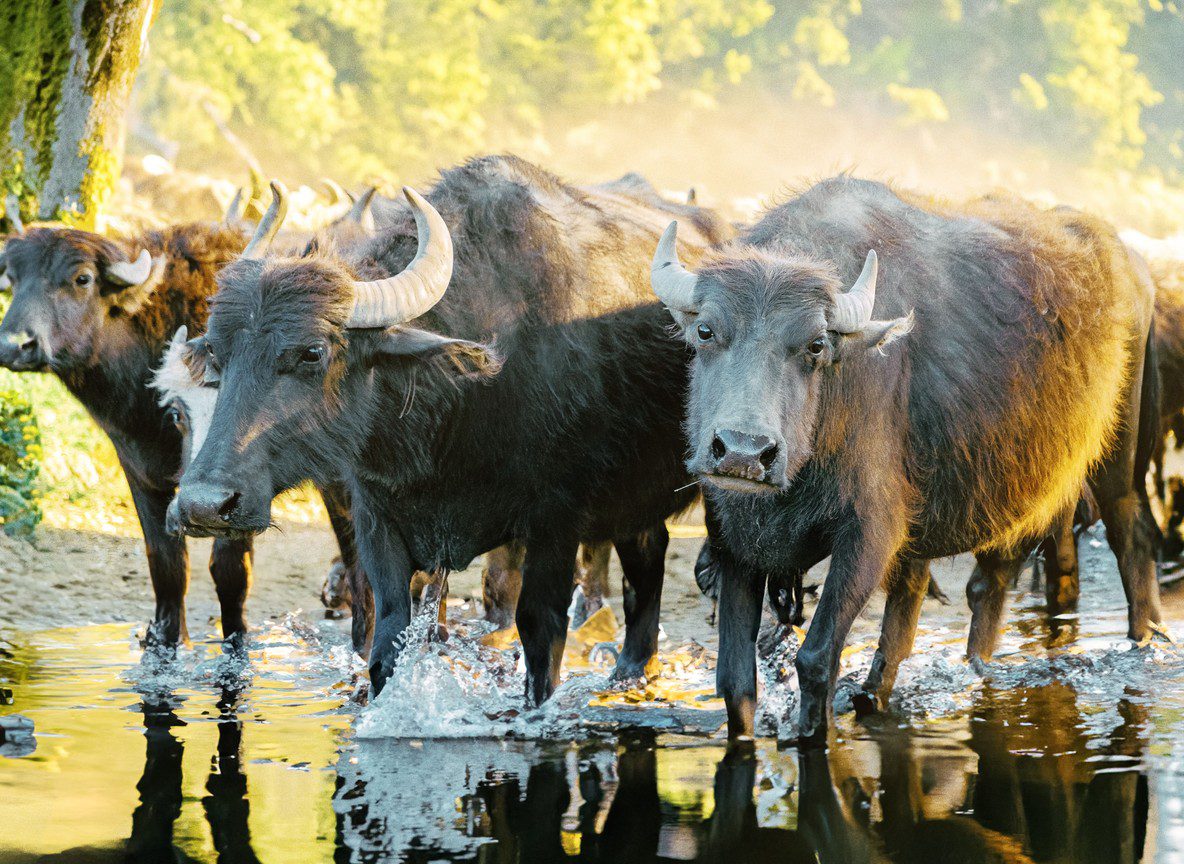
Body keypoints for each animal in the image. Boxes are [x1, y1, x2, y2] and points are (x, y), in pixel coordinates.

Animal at [653, 176, 1163, 742]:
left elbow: (816, 657)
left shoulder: (868, 534)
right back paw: (910, 683)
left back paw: (1143, 644)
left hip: (1120, 453)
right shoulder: (733, 542)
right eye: (705, 331)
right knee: (970, 585)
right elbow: (735, 679)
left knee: (1130, 536)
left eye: (815, 345)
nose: (744, 451)